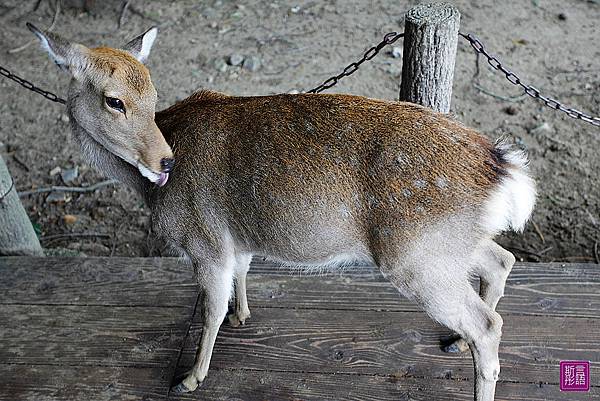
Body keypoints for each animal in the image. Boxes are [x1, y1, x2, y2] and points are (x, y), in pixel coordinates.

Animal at [27, 25, 536, 400]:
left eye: (151, 96)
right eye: (114, 99)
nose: (165, 163)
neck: (149, 194)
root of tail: (503, 169)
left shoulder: (203, 239)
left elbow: (210, 309)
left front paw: (191, 376)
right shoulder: (235, 236)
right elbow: (242, 272)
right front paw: (242, 314)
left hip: (415, 255)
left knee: (488, 323)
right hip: (451, 243)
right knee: (502, 260)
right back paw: (455, 340)